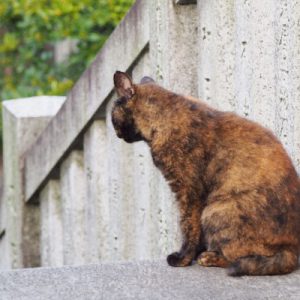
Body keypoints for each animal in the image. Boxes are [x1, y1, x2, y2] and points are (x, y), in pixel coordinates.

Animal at [110, 71, 300, 276]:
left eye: (112, 115)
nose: (116, 133)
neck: (163, 115)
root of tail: (292, 249)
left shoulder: (188, 191)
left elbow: (188, 225)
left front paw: (183, 258)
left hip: (215, 210)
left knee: (239, 257)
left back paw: (209, 257)